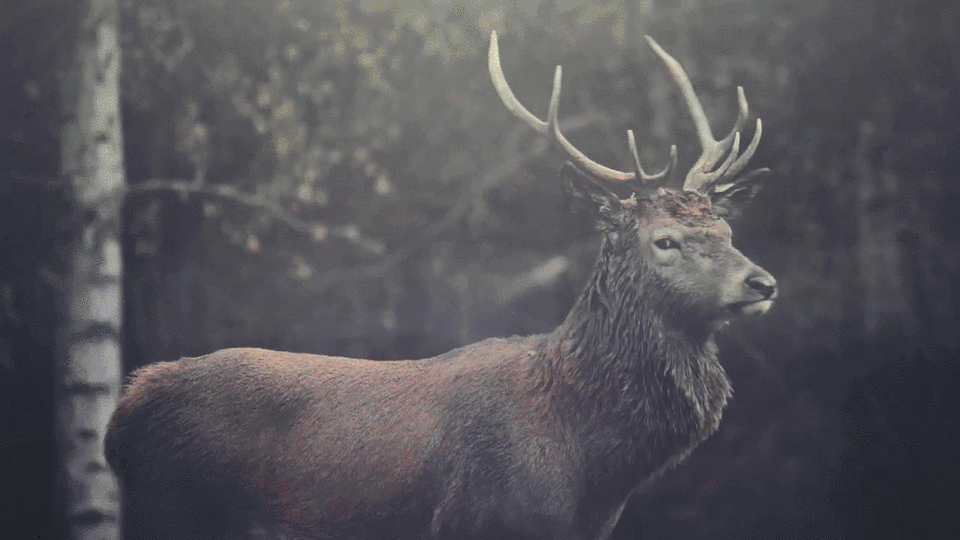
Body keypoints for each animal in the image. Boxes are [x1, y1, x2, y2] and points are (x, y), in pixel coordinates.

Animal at [105, 31, 777, 540]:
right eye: (664, 239)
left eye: (726, 226)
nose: (763, 281)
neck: (587, 468)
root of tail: (122, 414)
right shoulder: (473, 518)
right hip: (171, 512)